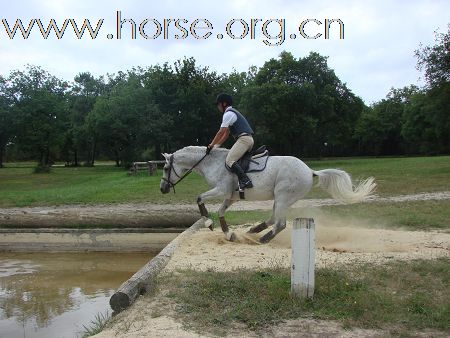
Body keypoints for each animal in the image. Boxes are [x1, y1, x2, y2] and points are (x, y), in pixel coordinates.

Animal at [160, 146, 374, 243]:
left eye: (165, 168)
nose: (162, 189)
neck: (212, 163)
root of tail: (310, 170)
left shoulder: (221, 190)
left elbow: (199, 198)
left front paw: (208, 223)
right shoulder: (231, 196)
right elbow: (221, 211)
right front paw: (228, 233)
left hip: (283, 197)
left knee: (280, 224)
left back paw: (263, 239)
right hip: (279, 200)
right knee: (272, 220)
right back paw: (254, 230)